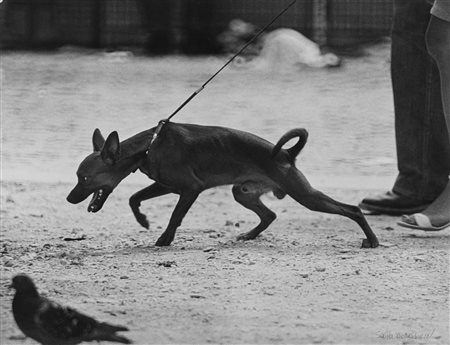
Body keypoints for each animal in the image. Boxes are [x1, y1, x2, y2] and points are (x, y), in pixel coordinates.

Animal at [66, 121, 376, 247]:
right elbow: (134, 198)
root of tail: (287, 154)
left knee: (352, 209)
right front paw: (143, 220)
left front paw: (165, 239)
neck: (148, 146)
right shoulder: (168, 185)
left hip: (305, 195)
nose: (69, 199)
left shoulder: (189, 189)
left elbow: (175, 216)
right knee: (269, 214)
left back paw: (372, 240)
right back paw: (249, 236)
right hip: (243, 192)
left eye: (84, 178)